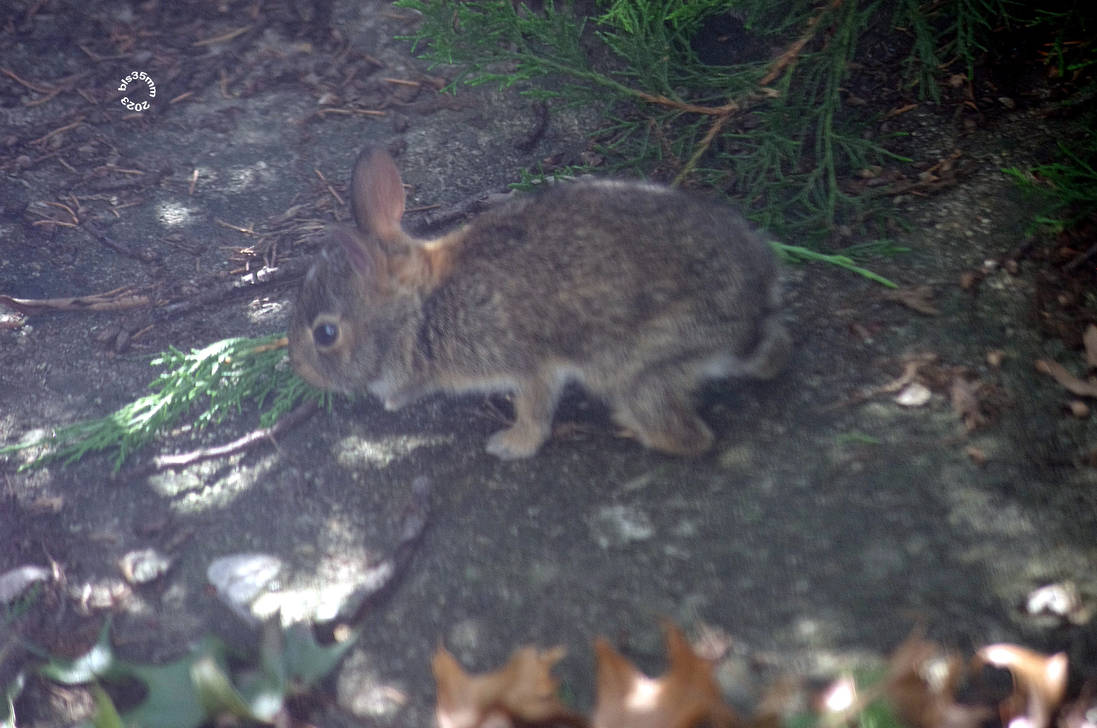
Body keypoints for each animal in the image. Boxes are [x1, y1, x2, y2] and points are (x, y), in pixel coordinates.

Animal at [289, 147, 790, 459]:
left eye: (326, 333)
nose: (302, 371)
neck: (424, 307)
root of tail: (752, 305)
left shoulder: (530, 364)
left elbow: (533, 408)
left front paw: (510, 445)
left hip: (637, 366)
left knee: (688, 437)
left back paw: (632, 428)